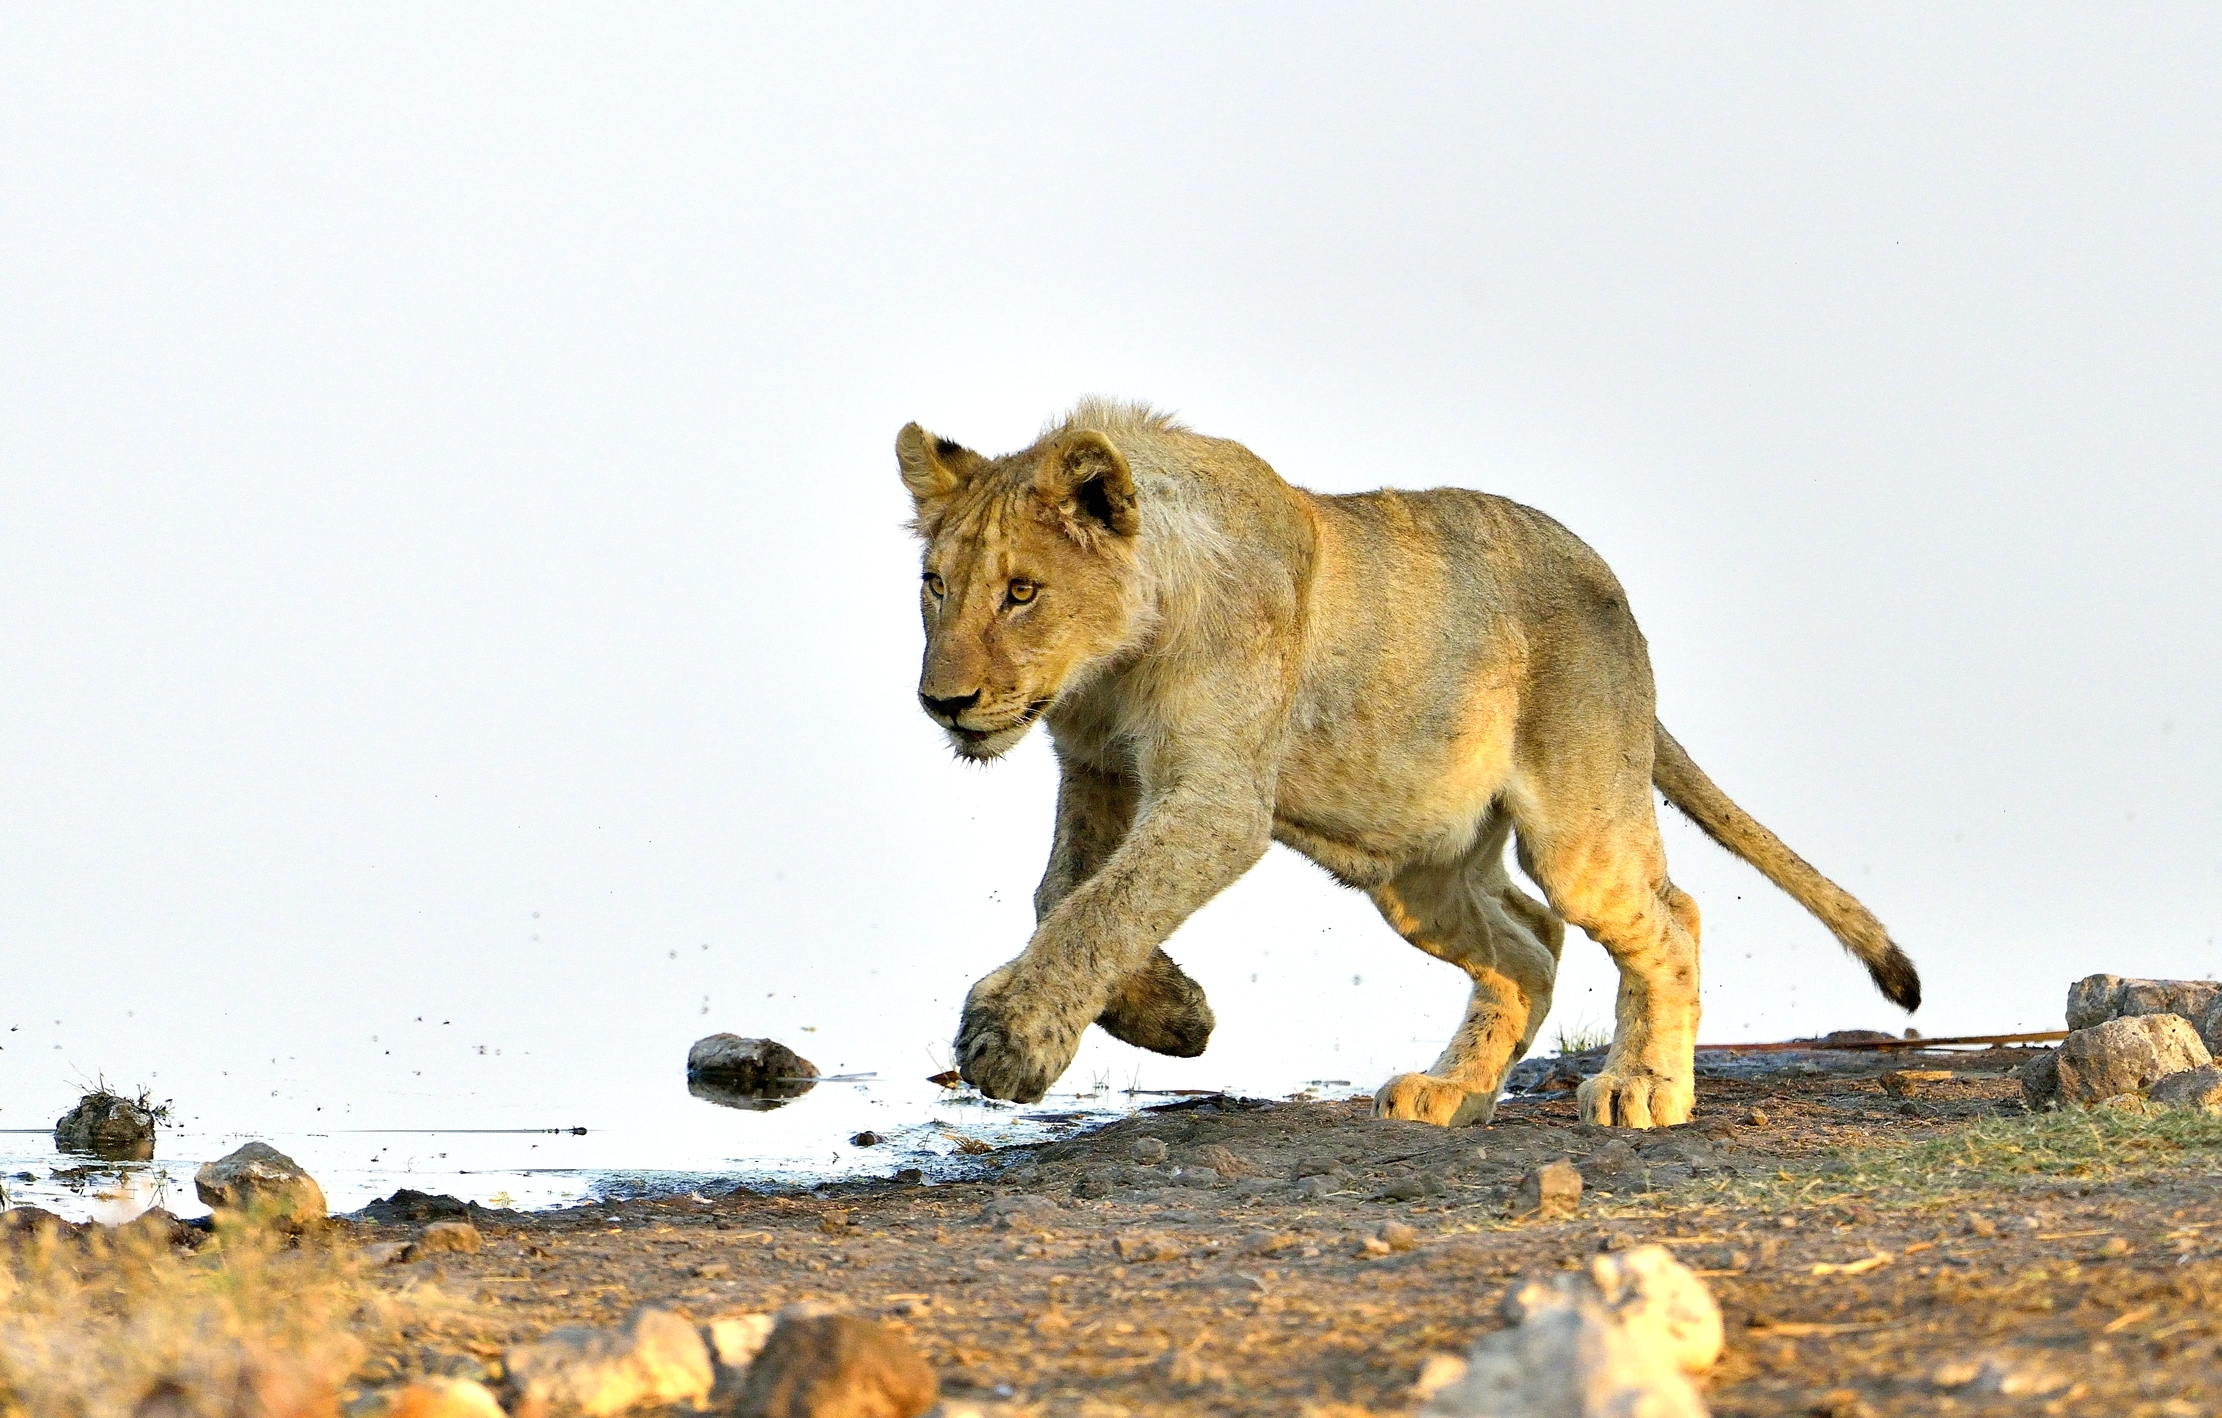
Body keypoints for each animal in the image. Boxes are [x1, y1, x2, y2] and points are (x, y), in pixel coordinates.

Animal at [898, 399, 1917, 1128]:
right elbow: (1064, 895)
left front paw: (1011, 1037)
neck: (1111, 665)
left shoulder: (1217, 797)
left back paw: (1644, 1088)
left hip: (1578, 824)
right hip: (1413, 865)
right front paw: (1175, 1013)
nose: (942, 703)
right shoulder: (1098, 770)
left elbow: (1102, 905)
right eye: (936, 586)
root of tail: (1613, 592)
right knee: (1532, 941)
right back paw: (1453, 1091)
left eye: (1021, 591)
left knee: (1668, 916)